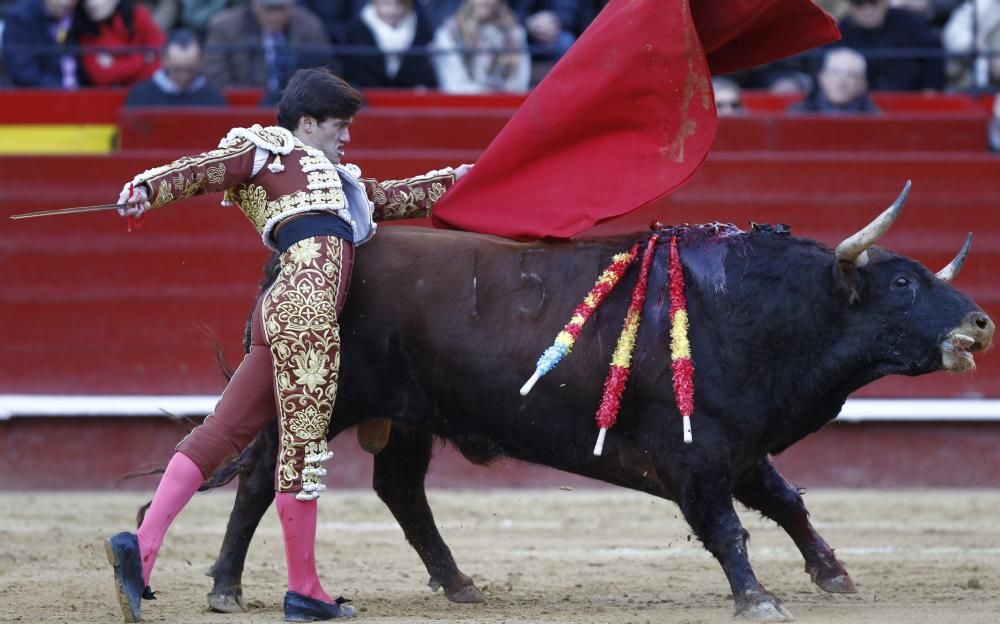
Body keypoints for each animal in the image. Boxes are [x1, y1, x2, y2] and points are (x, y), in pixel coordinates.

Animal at [191, 183, 988, 620]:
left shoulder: (739, 446)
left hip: (411, 415)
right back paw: (227, 586)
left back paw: (459, 583)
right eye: (903, 284)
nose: (981, 322)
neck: (759, 310)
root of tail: (296, 258)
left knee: (401, 490)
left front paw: (833, 575)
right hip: (318, 397)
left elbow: (787, 503)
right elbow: (728, 528)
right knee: (263, 478)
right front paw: (759, 597)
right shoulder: (695, 454)